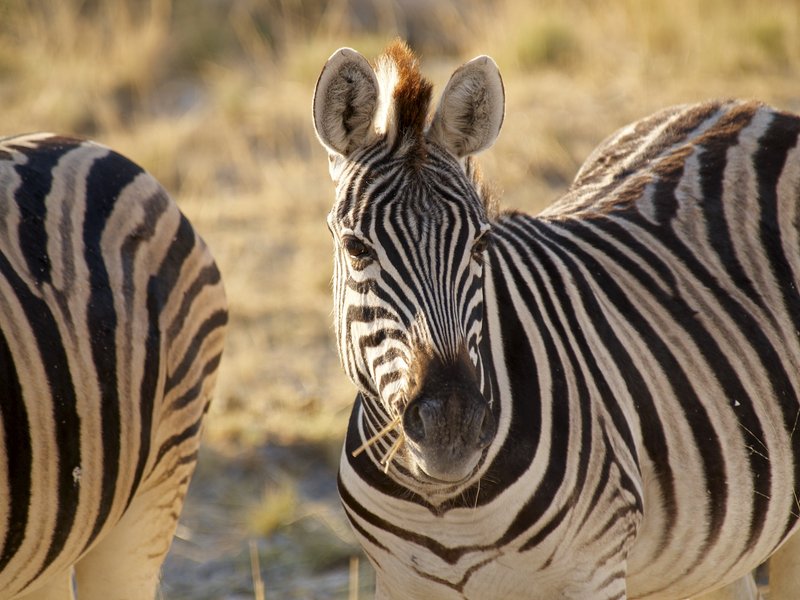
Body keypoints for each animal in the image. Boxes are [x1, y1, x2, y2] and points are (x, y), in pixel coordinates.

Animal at [312, 40, 800, 599]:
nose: (451, 429)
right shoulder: (397, 584)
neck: (444, 506)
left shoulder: (595, 570)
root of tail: (751, 105)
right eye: (356, 248)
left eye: (481, 244)